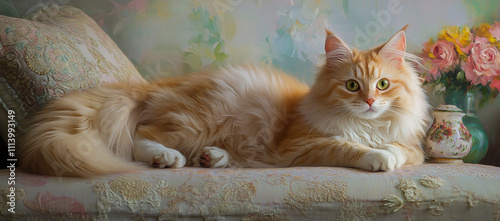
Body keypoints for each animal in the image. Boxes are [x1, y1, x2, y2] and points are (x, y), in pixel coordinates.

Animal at [18, 26, 430, 177]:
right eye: (351, 85)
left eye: (382, 84)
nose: (371, 102)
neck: (365, 125)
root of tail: (157, 85)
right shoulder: (302, 146)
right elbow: (348, 146)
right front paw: (376, 156)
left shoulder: (411, 146)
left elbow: (403, 150)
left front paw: (389, 152)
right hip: (200, 117)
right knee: (140, 136)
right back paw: (167, 158)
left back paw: (211, 158)